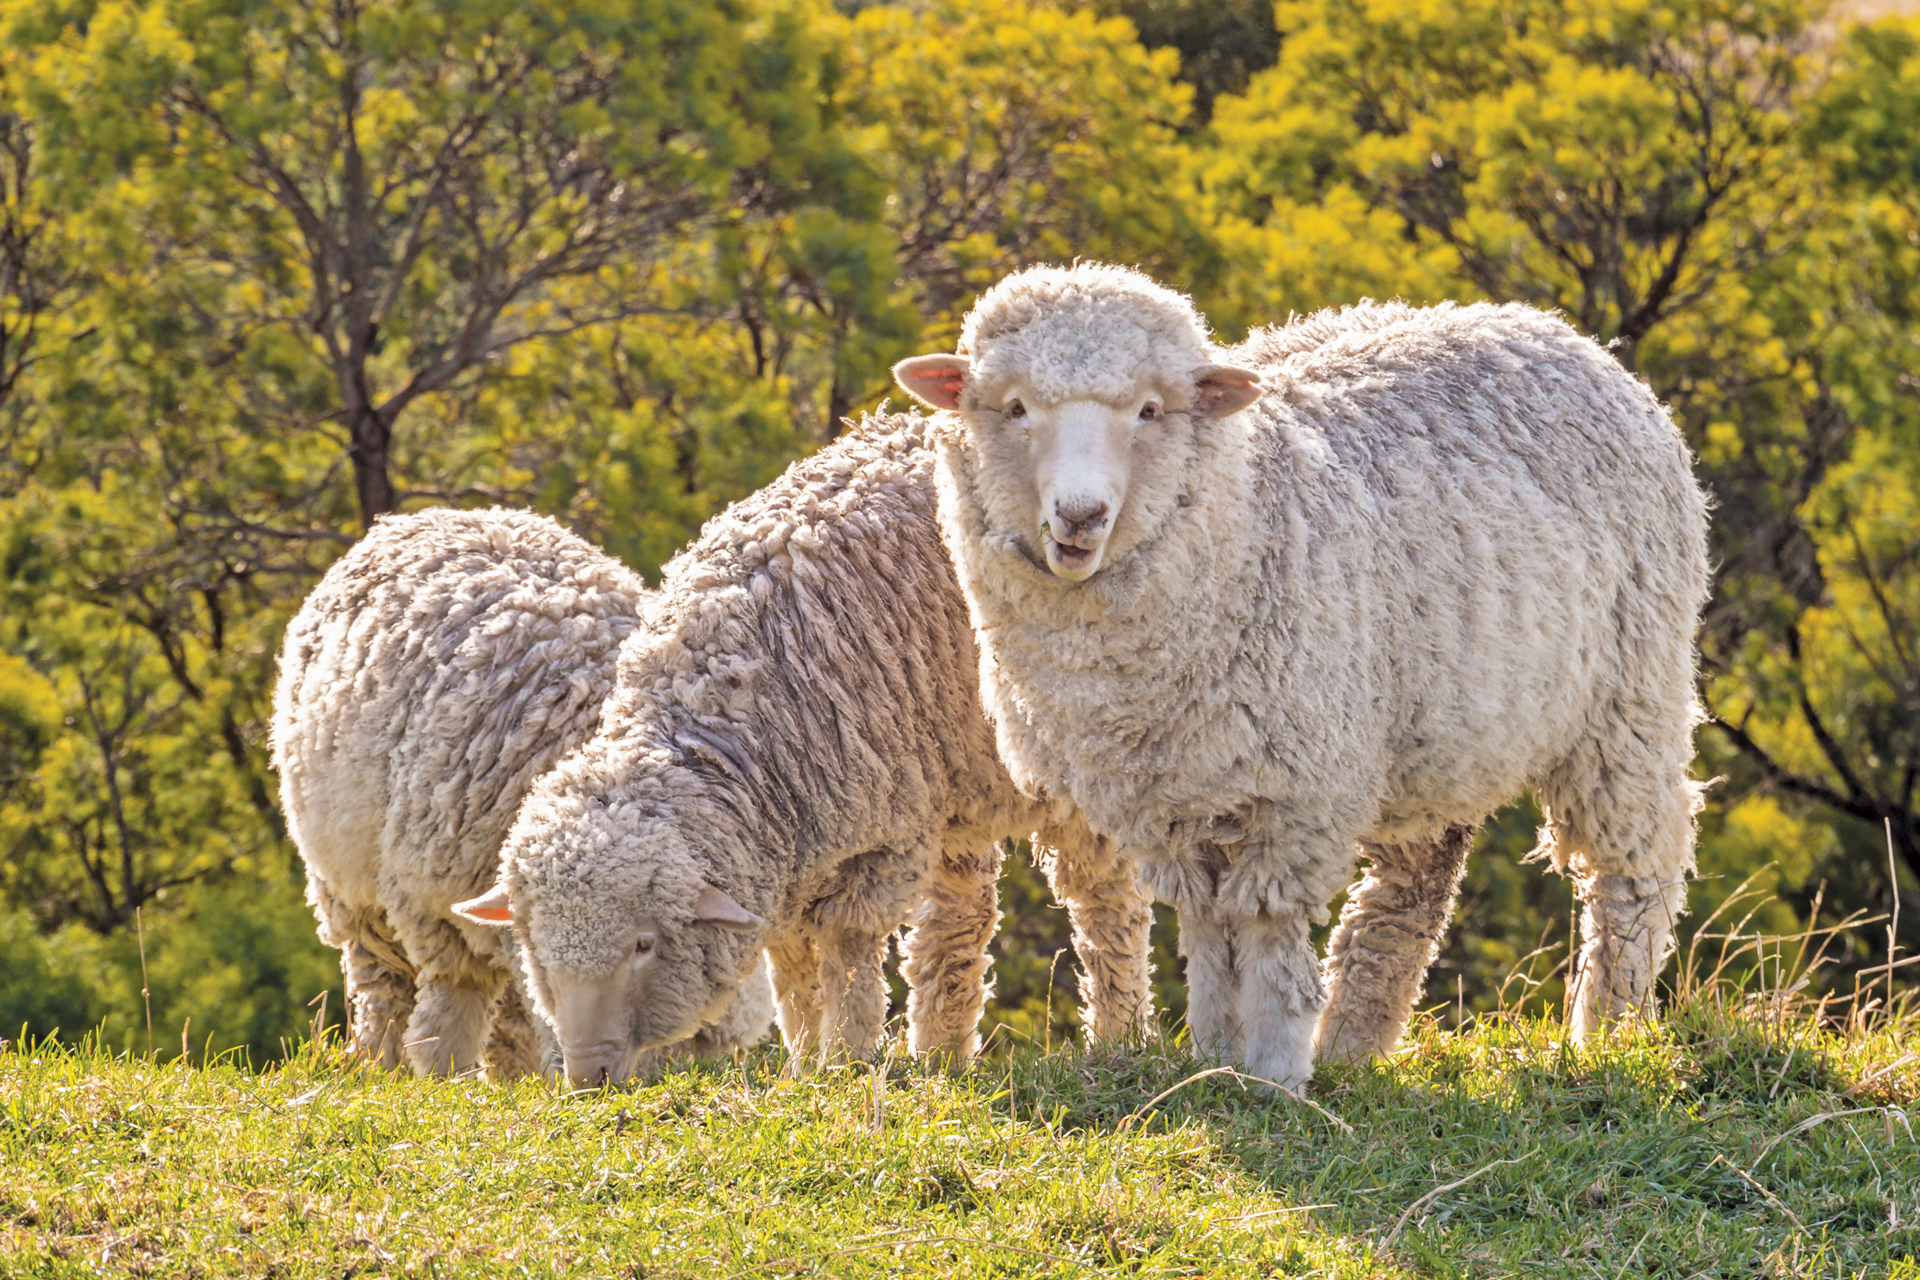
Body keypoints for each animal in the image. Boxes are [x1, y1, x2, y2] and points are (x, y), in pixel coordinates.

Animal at [272, 507, 775, 1078]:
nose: (606, 1078)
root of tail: (421, 515)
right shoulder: (430, 901)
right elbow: (455, 1000)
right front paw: (442, 1073)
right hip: (348, 886)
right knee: (383, 984)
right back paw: (383, 1063)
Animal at [451, 414, 1155, 1086]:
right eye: (537, 949)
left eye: (644, 945)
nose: (587, 1076)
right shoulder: (788, 853)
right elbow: (792, 965)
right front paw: (800, 1064)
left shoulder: (878, 834)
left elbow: (845, 949)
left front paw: (844, 1059)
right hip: (958, 780)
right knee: (961, 921)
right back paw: (941, 1057)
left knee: (1106, 902)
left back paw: (1117, 1040)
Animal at [894, 263, 1712, 1088]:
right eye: (1015, 408)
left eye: (1151, 411)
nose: (1081, 515)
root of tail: (1557, 330)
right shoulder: (1172, 799)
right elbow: (1208, 926)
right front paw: (1216, 1056)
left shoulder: (1295, 792)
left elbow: (1265, 927)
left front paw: (1276, 1070)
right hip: (1432, 727)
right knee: (1409, 894)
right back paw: (1354, 1044)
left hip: (1629, 691)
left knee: (1634, 869)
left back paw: (1608, 1026)